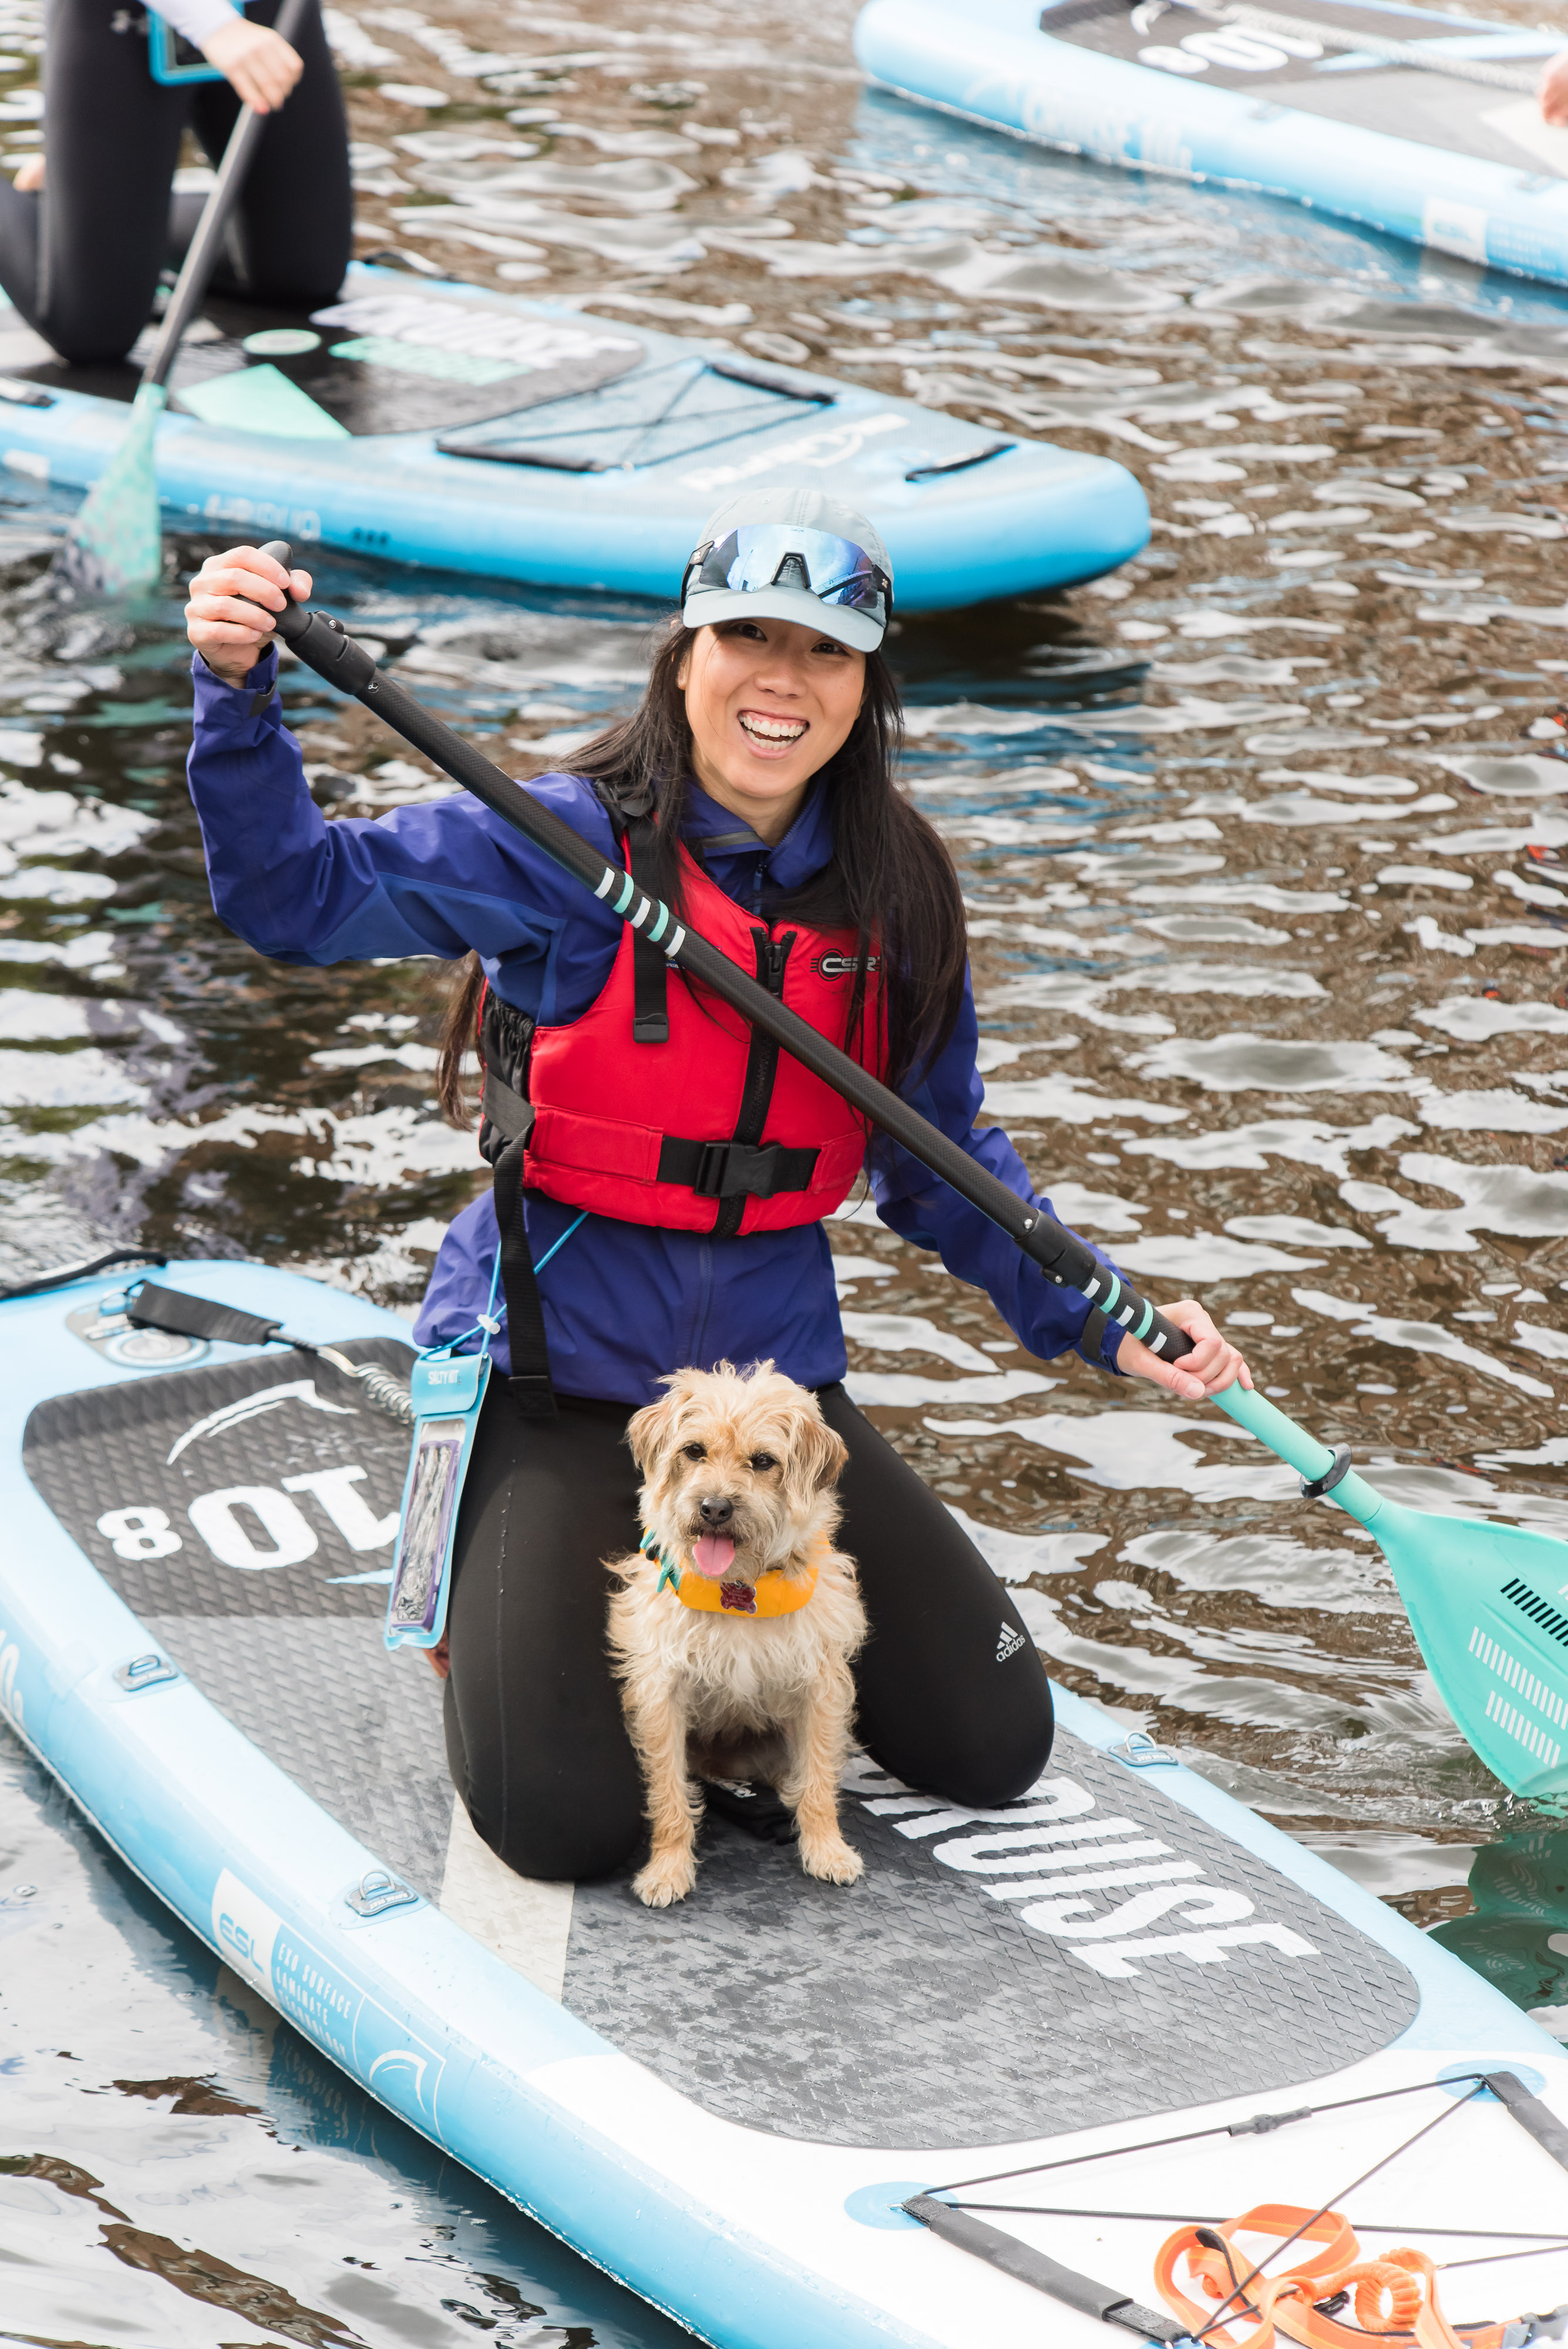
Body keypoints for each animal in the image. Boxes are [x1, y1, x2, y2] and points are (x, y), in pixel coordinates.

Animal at [605, 1362, 868, 1907]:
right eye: (694, 1451)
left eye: (764, 1461)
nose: (714, 1508)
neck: (738, 1589)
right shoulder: (663, 1689)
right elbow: (668, 1789)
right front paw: (667, 1868)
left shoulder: (820, 1686)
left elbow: (819, 1777)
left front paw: (827, 1849)